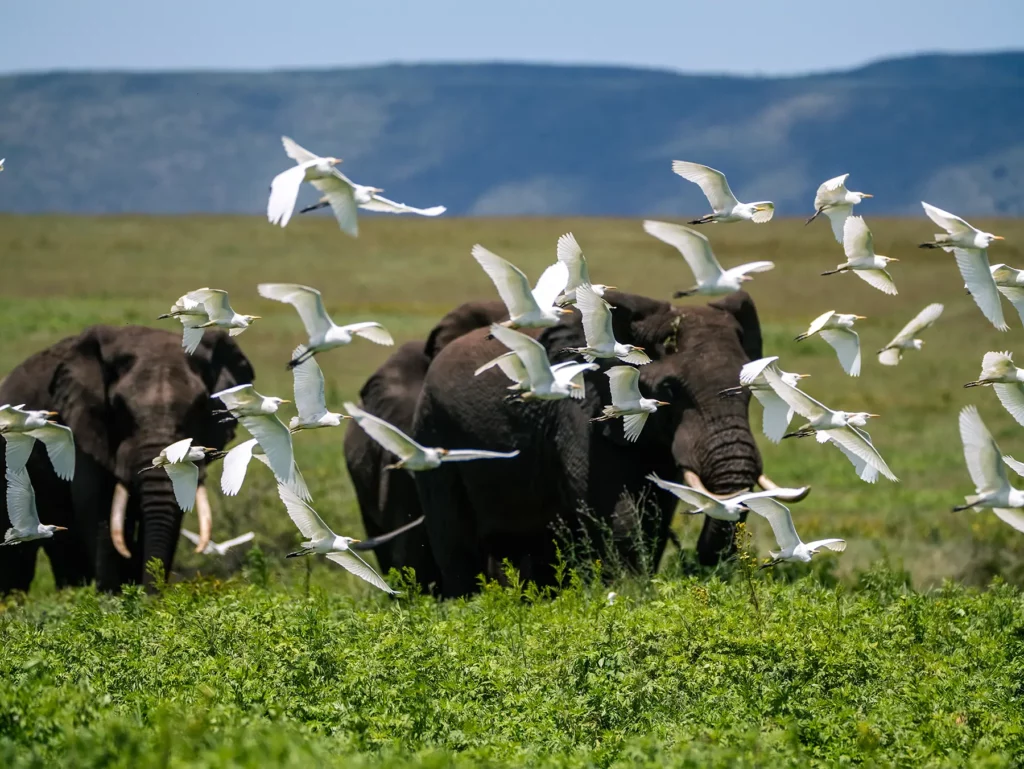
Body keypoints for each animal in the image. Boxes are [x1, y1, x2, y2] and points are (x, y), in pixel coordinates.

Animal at [0, 325, 253, 593]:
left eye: (199, 406)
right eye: (119, 407)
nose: (152, 598)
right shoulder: (84, 429)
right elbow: (99, 507)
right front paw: (114, 597)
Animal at [411, 290, 807, 598]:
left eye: (752, 391)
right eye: (670, 389)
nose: (699, 559)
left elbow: (656, 512)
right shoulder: (578, 410)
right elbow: (613, 511)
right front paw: (629, 590)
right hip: (433, 428)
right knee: (456, 541)